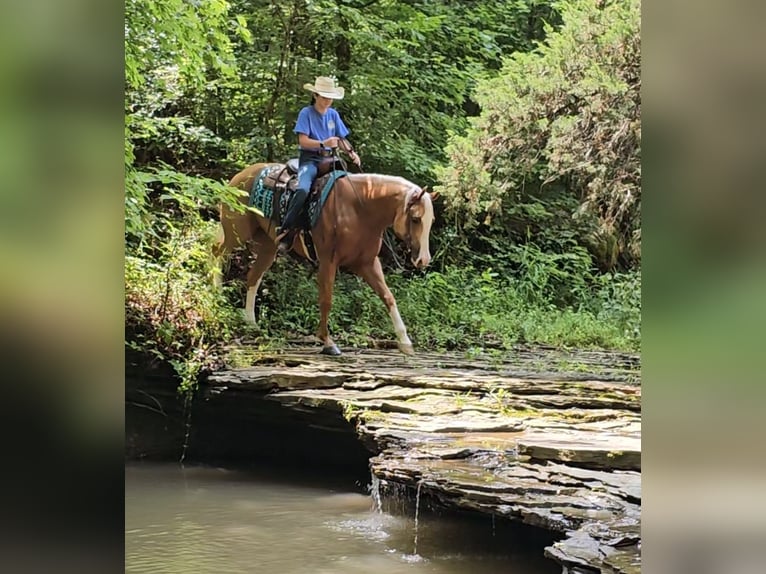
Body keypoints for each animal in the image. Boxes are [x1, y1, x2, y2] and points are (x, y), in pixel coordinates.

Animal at [213, 162, 436, 358]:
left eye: (430, 221)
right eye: (416, 219)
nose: (423, 260)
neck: (359, 209)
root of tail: (240, 176)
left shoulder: (367, 263)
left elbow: (388, 297)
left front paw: (405, 342)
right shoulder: (329, 260)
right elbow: (326, 299)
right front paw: (327, 342)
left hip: (269, 246)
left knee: (253, 276)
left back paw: (251, 322)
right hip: (237, 232)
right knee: (216, 252)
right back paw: (216, 295)